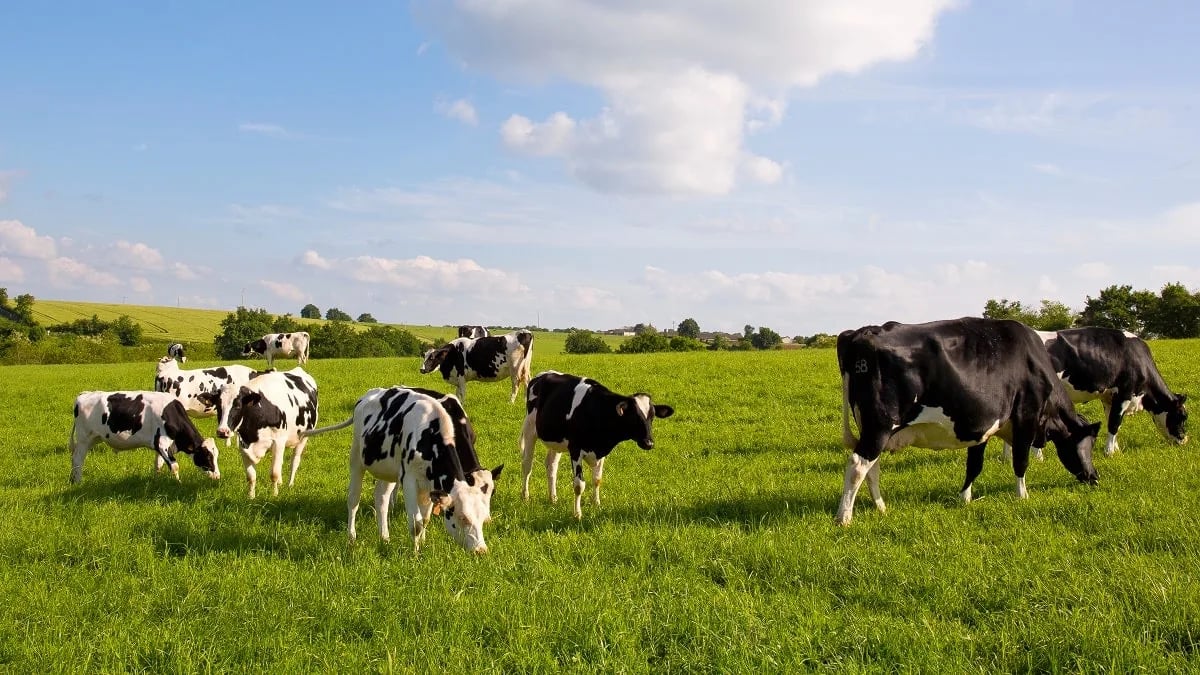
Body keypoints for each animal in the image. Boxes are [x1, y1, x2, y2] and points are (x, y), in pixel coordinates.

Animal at [70, 390, 220, 484]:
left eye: (216, 456)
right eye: (207, 456)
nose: (217, 477)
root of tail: (84, 394)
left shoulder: (160, 446)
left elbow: (158, 464)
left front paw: (156, 481)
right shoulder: (162, 444)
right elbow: (175, 466)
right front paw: (179, 483)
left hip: (93, 439)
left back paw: (73, 480)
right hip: (84, 439)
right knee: (78, 460)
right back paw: (78, 482)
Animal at [210, 367, 318, 498]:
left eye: (238, 406)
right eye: (218, 406)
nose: (222, 431)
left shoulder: (278, 442)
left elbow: (274, 473)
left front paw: (274, 494)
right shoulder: (244, 446)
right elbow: (251, 476)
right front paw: (251, 497)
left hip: (304, 436)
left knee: (294, 460)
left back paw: (290, 484)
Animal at [302, 387, 502, 554]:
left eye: (482, 519)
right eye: (462, 518)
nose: (481, 551)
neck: (431, 434)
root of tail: (368, 395)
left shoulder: (430, 483)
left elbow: (425, 518)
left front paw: (422, 543)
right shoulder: (409, 479)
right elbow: (416, 522)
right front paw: (415, 553)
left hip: (387, 469)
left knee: (381, 498)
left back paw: (384, 537)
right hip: (356, 458)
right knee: (353, 499)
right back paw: (351, 538)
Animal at [519, 371, 675, 519]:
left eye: (652, 417)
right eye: (634, 416)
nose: (649, 443)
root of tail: (542, 375)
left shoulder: (601, 452)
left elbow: (597, 479)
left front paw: (596, 504)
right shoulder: (575, 450)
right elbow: (579, 485)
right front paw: (577, 514)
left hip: (556, 441)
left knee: (551, 466)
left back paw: (553, 498)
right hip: (530, 428)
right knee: (527, 464)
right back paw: (525, 496)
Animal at [836, 317, 1101, 526]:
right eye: (1087, 446)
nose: (1094, 477)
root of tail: (863, 332)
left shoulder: (981, 426)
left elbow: (974, 464)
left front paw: (965, 498)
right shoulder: (1026, 416)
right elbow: (1020, 461)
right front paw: (1022, 496)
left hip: (873, 429)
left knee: (872, 467)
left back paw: (881, 507)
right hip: (880, 426)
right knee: (858, 465)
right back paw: (844, 517)